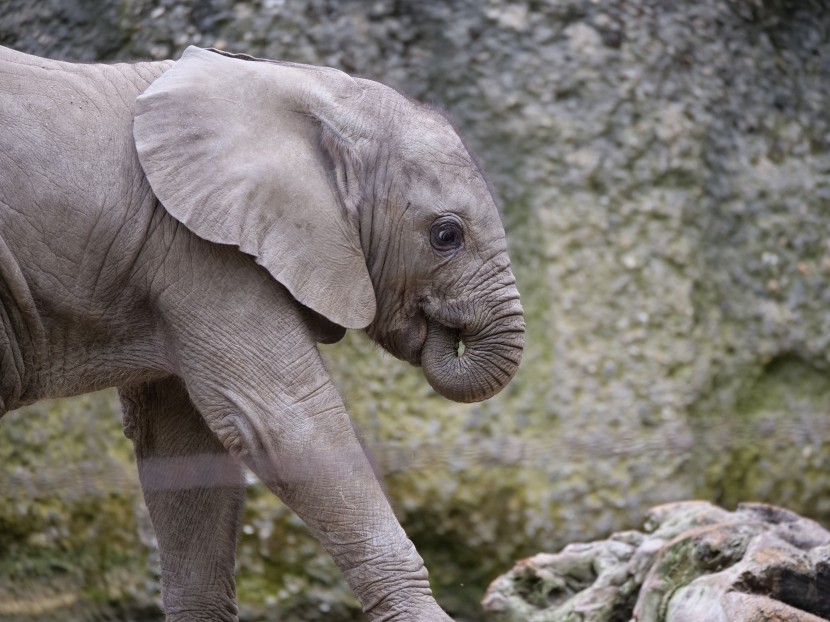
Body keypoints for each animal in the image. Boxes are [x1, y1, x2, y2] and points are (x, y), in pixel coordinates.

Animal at [0, 46, 528, 620]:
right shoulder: (201, 249)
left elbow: (185, 448)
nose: (442, 328)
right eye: (446, 235)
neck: (298, 86)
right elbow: (282, 422)